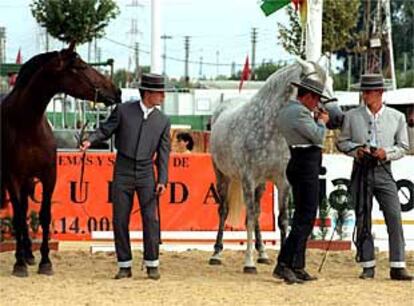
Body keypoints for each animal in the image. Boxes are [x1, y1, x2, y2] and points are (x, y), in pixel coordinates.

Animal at [1, 48, 121, 278]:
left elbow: (44, 215)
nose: (117, 91)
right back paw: (24, 255)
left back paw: (29, 254)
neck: (27, 124)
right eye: (81, 67)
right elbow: (19, 217)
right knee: (20, 212)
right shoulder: (13, 178)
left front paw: (44, 262)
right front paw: (19, 264)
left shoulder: (49, 176)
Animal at [210, 58, 342, 272]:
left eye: (331, 82)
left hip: (261, 184)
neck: (270, 127)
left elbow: (282, 220)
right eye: (317, 86)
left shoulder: (282, 181)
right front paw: (248, 263)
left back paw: (262, 253)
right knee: (224, 210)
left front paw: (280, 262)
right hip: (223, 176)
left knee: (256, 214)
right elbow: (248, 218)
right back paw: (216, 253)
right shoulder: (248, 179)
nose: (338, 117)